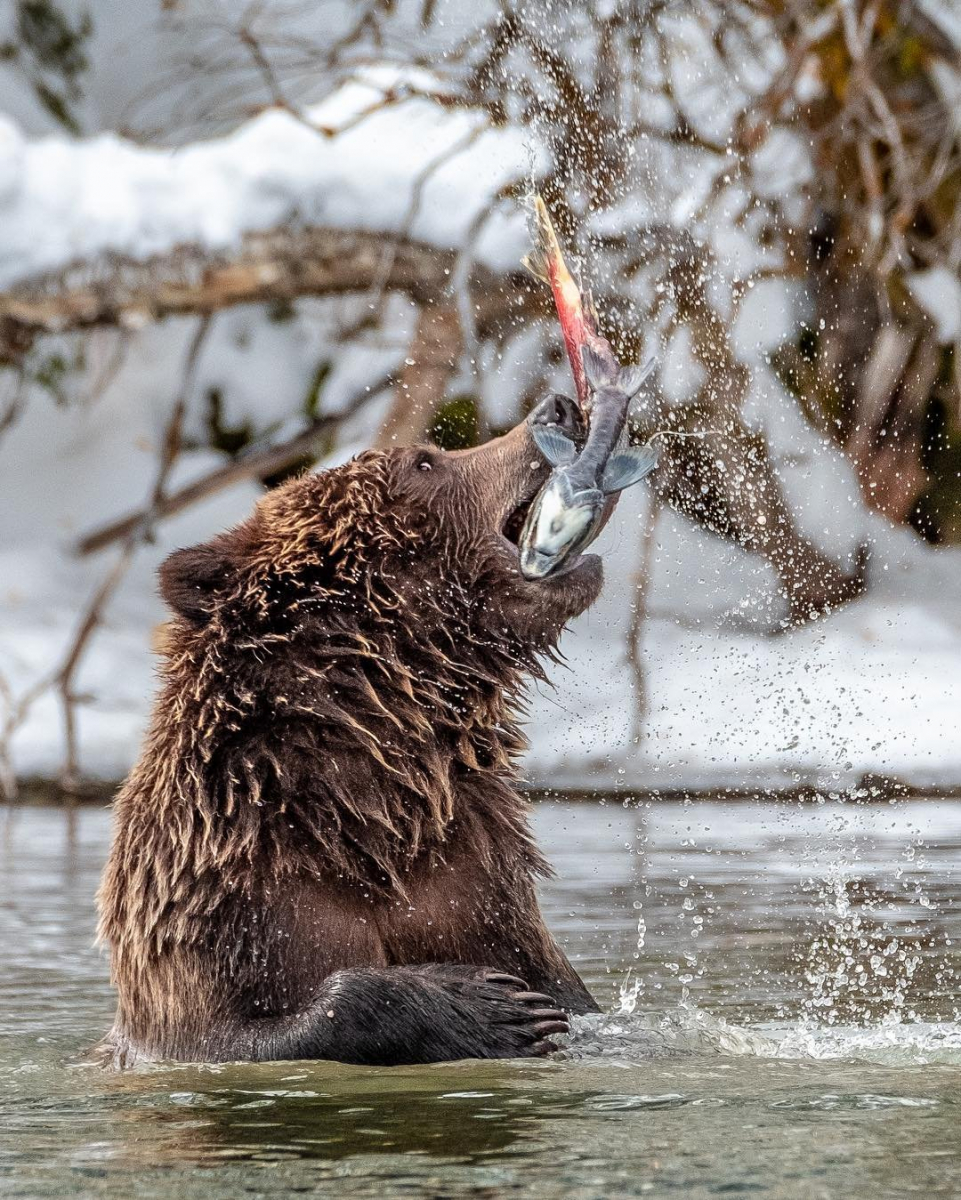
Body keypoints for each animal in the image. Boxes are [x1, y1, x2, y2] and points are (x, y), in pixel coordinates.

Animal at [99, 396, 607, 1070]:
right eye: (424, 462)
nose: (556, 407)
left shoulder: (479, 880)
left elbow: (567, 997)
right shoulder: (216, 914)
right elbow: (251, 1028)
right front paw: (487, 1005)